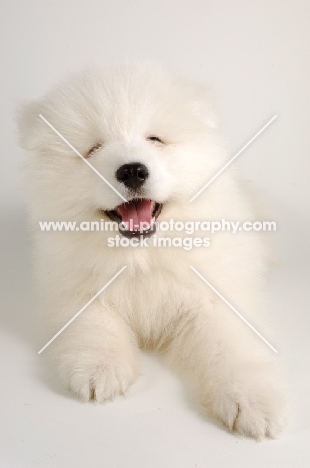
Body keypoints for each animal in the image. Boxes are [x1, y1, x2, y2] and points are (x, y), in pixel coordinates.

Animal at [18, 62, 286, 438]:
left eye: (155, 140)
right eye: (93, 148)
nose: (132, 170)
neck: (142, 257)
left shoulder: (214, 296)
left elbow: (230, 346)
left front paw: (253, 401)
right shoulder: (73, 286)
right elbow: (93, 321)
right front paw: (98, 369)